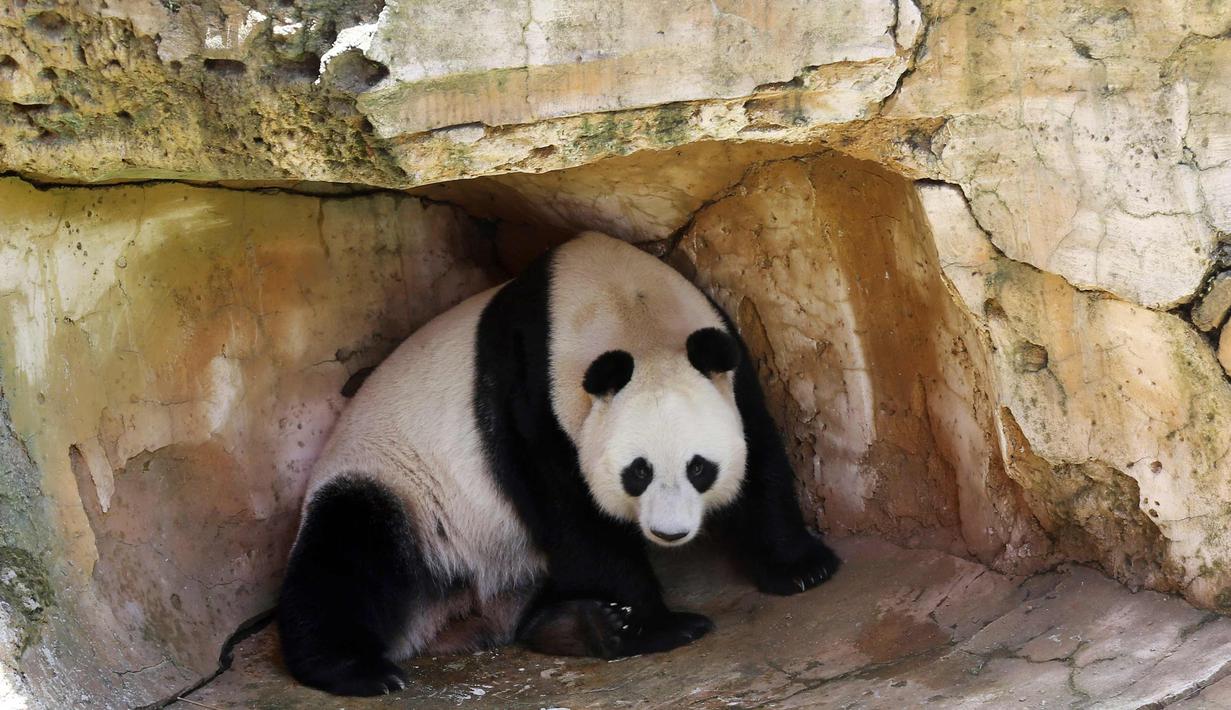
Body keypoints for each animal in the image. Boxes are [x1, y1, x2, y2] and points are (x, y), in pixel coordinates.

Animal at [278, 231, 841, 696]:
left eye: (699, 467)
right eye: (637, 472)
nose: (670, 533)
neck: (626, 308)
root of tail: (459, 616)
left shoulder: (726, 356)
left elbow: (761, 450)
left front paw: (801, 569)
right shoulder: (530, 400)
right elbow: (573, 517)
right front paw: (659, 626)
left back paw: (575, 626)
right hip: (399, 484)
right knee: (348, 554)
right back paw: (358, 670)